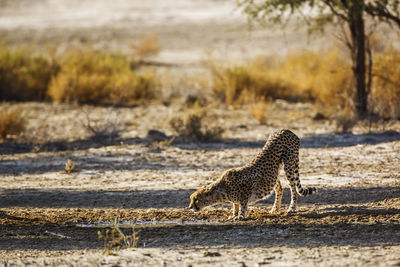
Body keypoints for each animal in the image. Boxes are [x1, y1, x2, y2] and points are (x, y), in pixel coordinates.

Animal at [189, 129, 318, 221]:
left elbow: (243, 202)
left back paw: (292, 208)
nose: (190, 207)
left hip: (289, 165)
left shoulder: (250, 183)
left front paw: (241, 216)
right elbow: (235, 204)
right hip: (274, 172)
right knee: (279, 188)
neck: (221, 190)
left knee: (293, 189)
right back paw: (275, 208)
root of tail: (286, 130)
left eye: (195, 199)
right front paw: (234, 214)